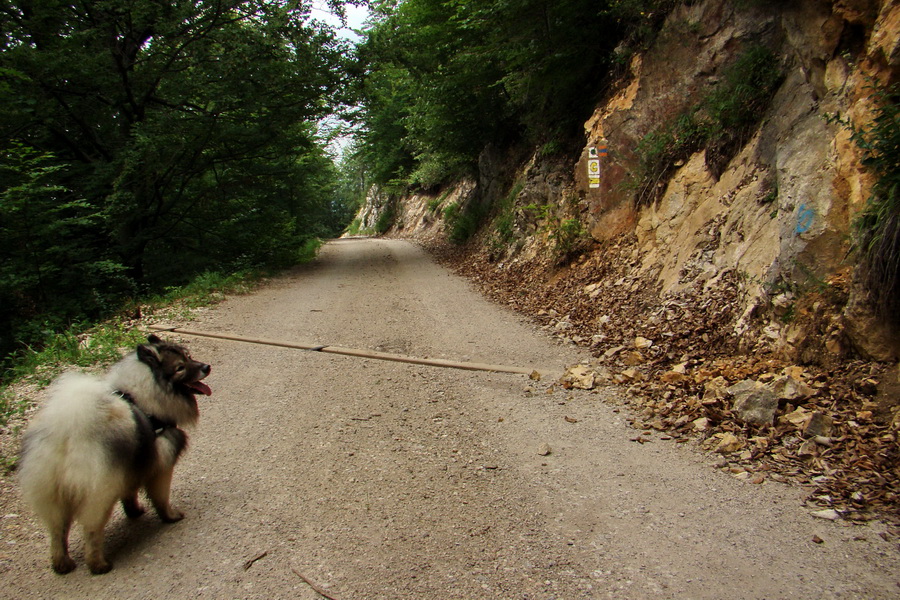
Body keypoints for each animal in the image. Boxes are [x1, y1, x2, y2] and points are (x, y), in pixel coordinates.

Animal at [18, 336, 212, 576]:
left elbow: (129, 493)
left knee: (57, 532)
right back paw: (98, 565)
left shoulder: (128, 467)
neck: (143, 398)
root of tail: (65, 436)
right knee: (91, 531)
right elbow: (161, 497)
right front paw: (170, 516)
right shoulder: (162, 465)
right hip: (98, 495)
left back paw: (62, 564)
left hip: (53, 498)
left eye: (189, 356)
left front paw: (134, 511)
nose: (206, 367)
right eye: (179, 368)